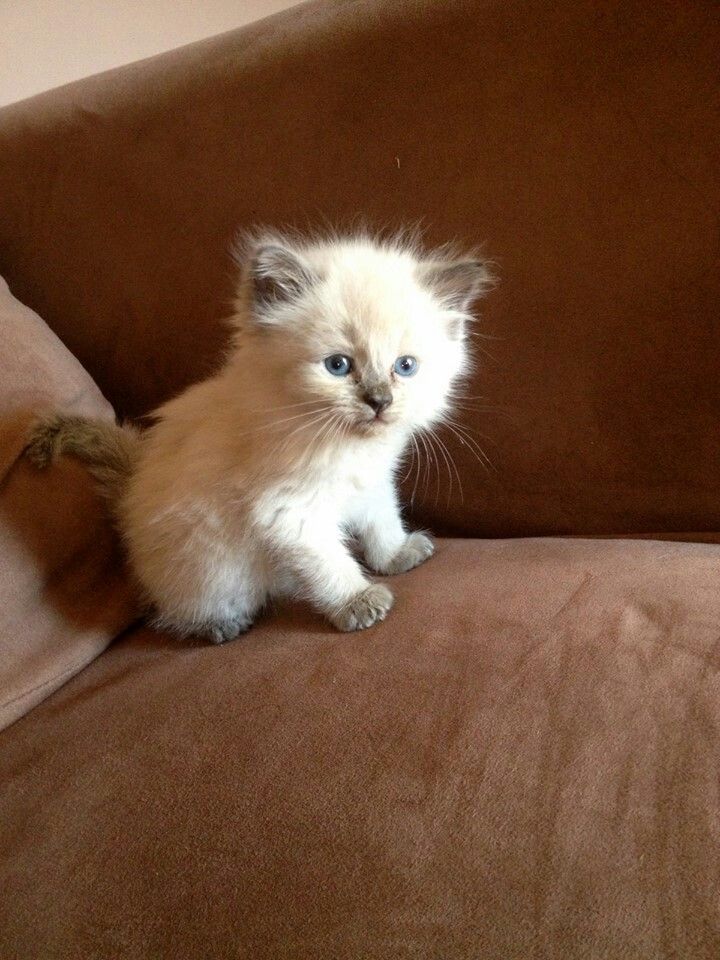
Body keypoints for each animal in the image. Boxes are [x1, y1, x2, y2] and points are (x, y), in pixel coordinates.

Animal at [25, 231, 492, 644]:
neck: (347, 448)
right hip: (213, 568)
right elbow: (329, 563)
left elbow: (382, 521)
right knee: (175, 611)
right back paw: (218, 626)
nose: (380, 401)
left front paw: (396, 556)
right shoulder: (289, 511)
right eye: (338, 365)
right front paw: (357, 602)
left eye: (405, 366)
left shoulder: (373, 482)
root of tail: (130, 489)